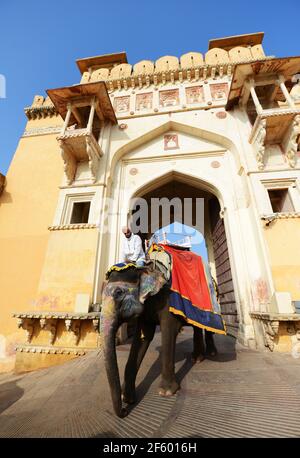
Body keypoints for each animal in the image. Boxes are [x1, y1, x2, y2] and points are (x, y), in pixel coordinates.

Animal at [101, 247, 225, 418]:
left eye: (119, 292)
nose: (124, 411)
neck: (146, 268)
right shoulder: (146, 308)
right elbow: (143, 337)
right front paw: (128, 397)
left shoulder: (167, 299)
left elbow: (168, 330)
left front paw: (166, 392)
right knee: (196, 326)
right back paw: (197, 358)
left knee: (206, 326)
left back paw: (211, 353)